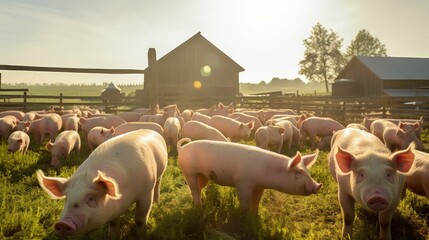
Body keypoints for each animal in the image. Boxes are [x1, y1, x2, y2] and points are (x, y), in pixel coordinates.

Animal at [36, 130, 168, 239]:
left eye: (91, 198)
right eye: (67, 198)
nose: (63, 223)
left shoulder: (146, 192)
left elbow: (140, 220)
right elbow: (113, 224)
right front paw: (113, 237)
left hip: (160, 174)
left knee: (158, 184)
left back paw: (157, 202)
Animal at [176, 138, 320, 213]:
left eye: (308, 172)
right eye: (298, 172)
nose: (318, 186)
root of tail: (182, 148)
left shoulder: (260, 187)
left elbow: (256, 200)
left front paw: (255, 215)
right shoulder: (242, 182)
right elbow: (245, 201)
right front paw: (244, 215)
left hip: (203, 175)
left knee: (198, 188)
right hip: (188, 171)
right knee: (194, 188)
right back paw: (199, 207)